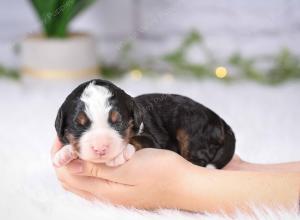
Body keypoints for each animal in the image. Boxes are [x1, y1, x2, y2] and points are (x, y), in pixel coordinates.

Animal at [54, 79, 237, 168]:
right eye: (79, 125)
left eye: (118, 122)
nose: (101, 148)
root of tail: (221, 122)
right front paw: (64, 154)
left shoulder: (153, 140)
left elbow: (136, 140)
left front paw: (120, 154)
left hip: (192, 129)